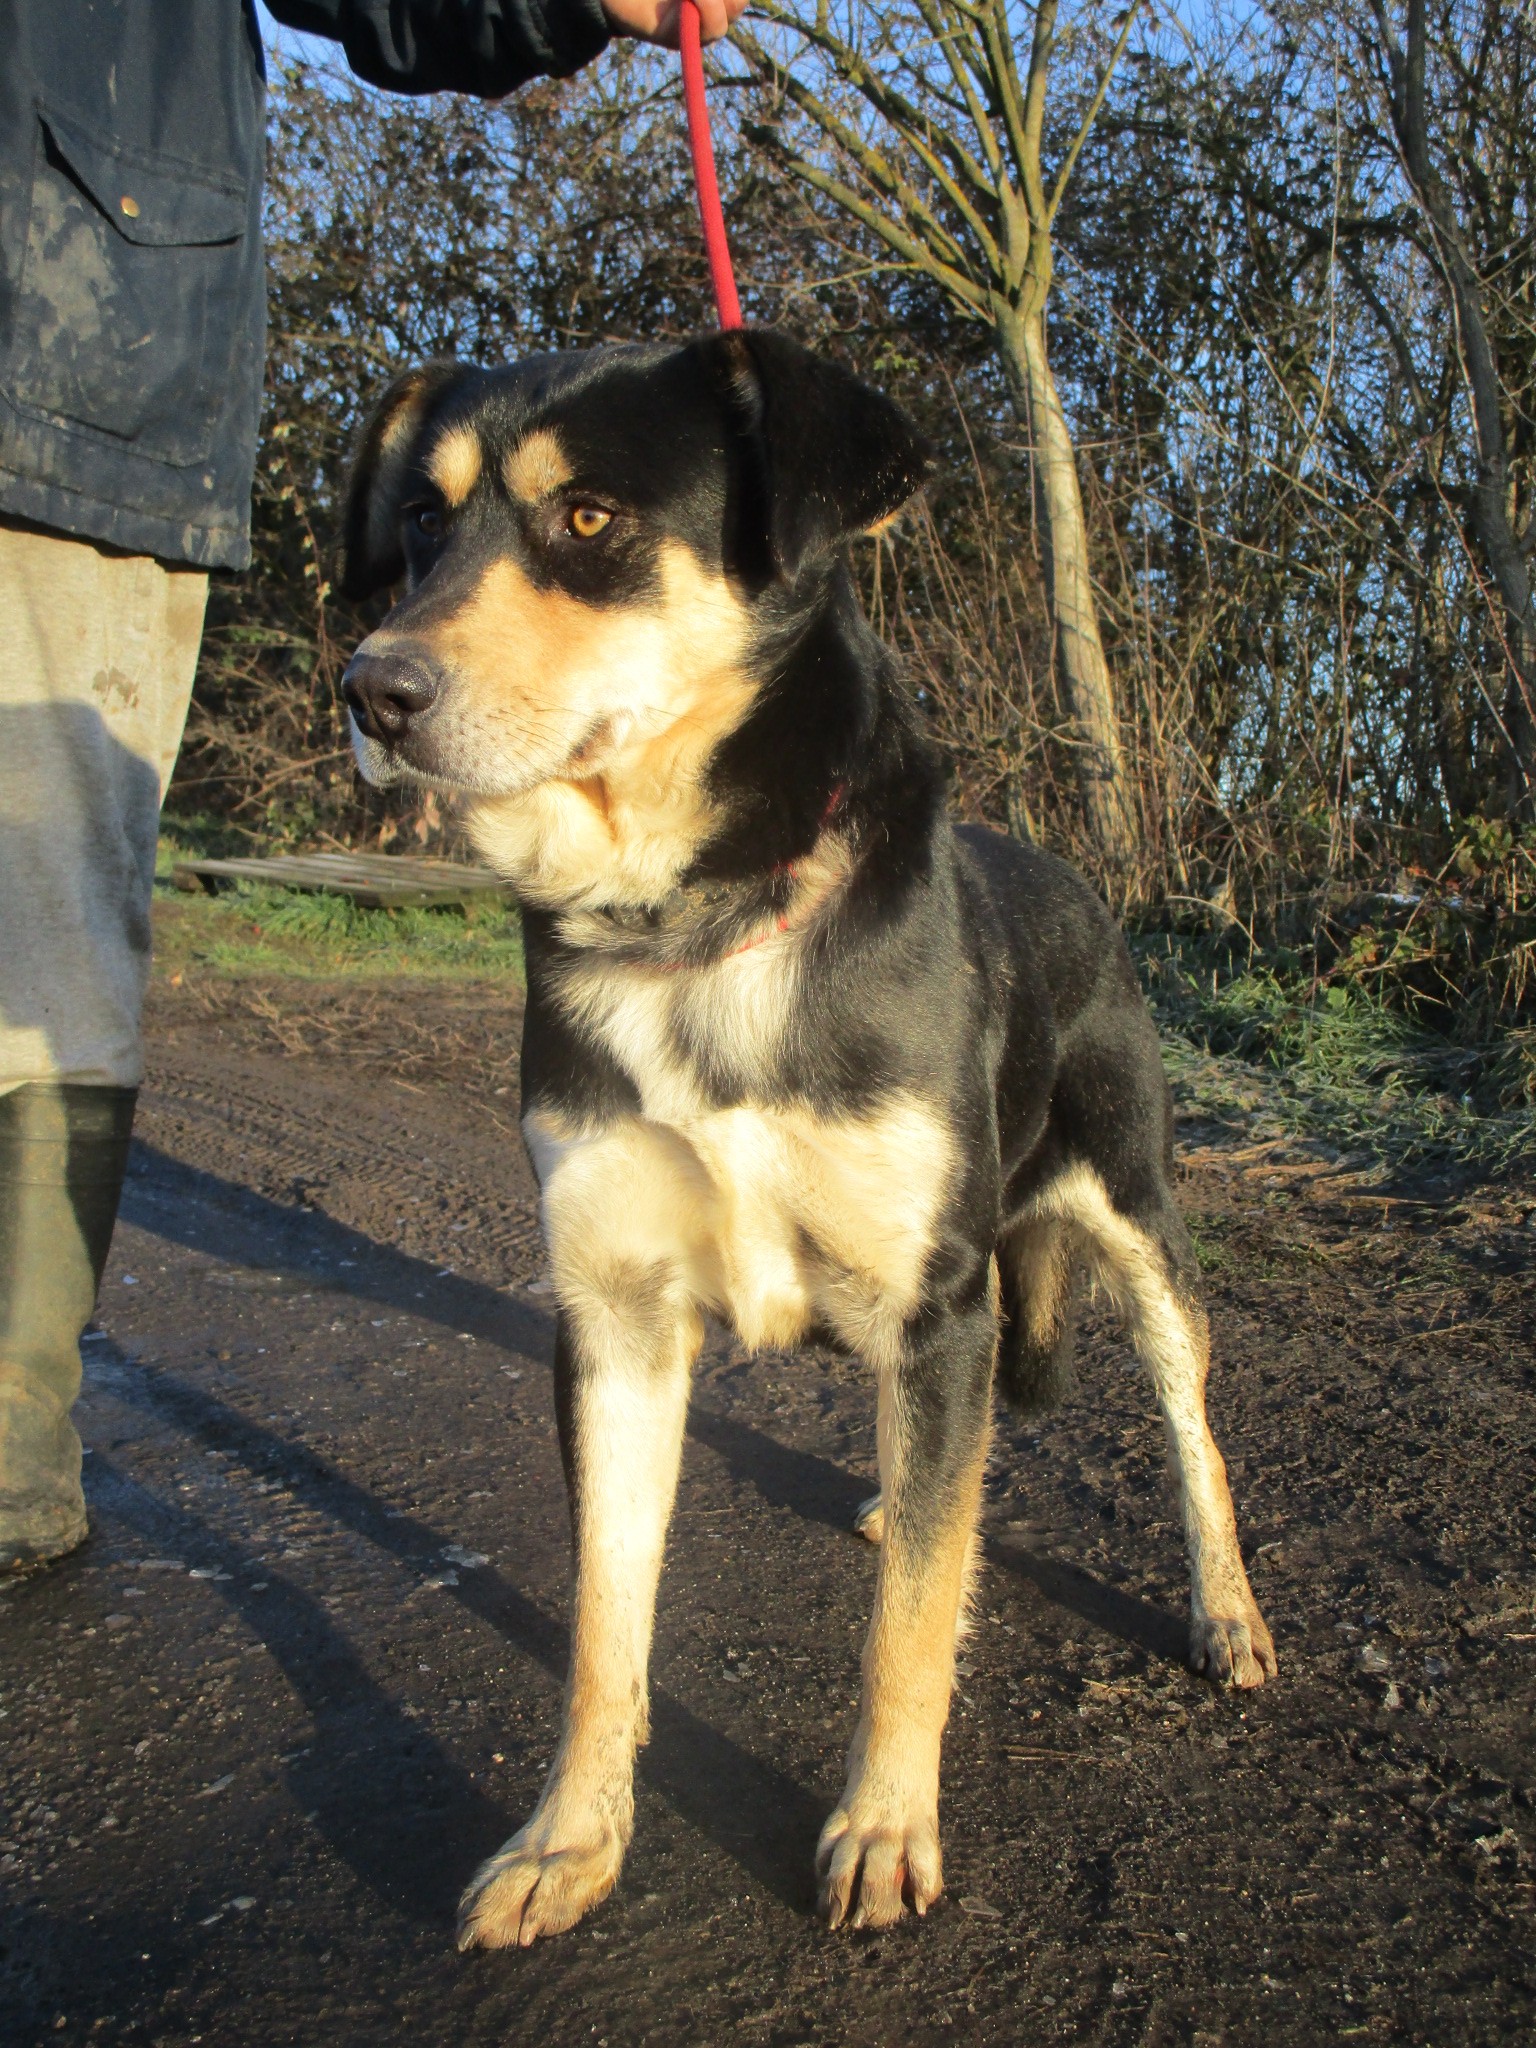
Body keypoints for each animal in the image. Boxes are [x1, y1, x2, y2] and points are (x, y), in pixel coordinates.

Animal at [336, 329, 1275, 1949]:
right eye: (419, 525)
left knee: (1189, 1428)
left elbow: (910, 1630)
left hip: (1139, 1222)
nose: (371, 690)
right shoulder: (612, 1319)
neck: (686, 924)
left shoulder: (937, 1298)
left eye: (589, 517)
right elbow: (605, 1620)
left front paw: (886, 1827)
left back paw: (1225, 1608)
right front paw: (569, 1838)